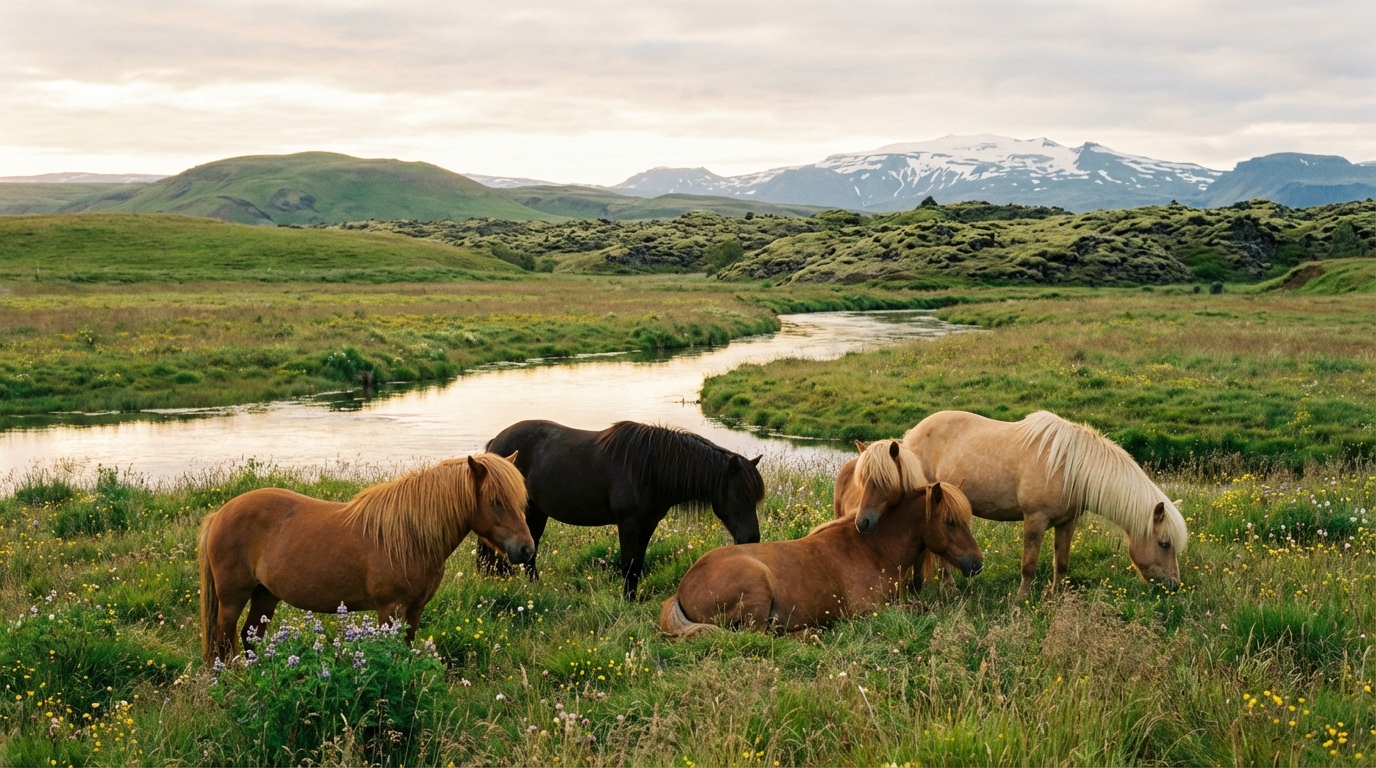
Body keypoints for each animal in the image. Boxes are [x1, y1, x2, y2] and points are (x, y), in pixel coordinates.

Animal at [198, 453, 534, 665]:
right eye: (496, 501)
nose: (526, 550)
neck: (408, 537)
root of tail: (219, 514)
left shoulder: (415, 610)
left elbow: (406, 647)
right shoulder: (389, 609)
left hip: (265, 595)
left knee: (250, 636)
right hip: (232, 598)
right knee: (224, 639)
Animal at [481, 420, 763, 597]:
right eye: (739, 496)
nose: (752, 539)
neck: (651, 468)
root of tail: (495, 443)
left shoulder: (648, 525)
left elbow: (637, 565)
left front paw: (633, 599)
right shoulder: (628, 524)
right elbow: (627, 565)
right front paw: (625, 601)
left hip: (537, 513)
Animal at [659, 481, 981, 637]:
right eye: (951, 522)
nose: (977, 563)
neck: (874, 550)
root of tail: (682, 589)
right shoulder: (868, 611)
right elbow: (917, 607)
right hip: (757, 590)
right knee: (757, 636)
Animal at [902, 410, 1188, 600]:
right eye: (1164, 543)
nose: (1174, 585)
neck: (1070, 467)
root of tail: (911, 435)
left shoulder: (1067, 522)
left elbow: (1061, 562)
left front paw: (1056, 595)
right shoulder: (1035, 520)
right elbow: (1028, 565)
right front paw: (1021, 600)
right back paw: (947, 587)